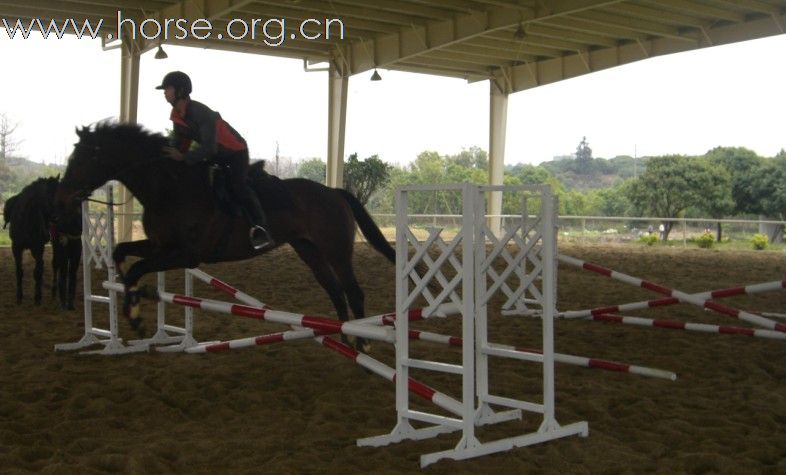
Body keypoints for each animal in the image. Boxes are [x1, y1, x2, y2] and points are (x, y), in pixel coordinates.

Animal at [2, 176, 59, 304]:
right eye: (50, 196)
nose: (58, 218)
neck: (25, 220)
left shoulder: (38, 247)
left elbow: (37, 272)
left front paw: (37, 297)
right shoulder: (16, 248)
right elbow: (19, 271)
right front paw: (19, 296)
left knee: (53, 264)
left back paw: (53, 291)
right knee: (42, 264)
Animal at [56, 123, 404, 354]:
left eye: (85, 158)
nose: (64, 198)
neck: (168, 187)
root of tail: (334, 192)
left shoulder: (185, 255)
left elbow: (137, 268)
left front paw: (136, 316)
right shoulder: (160, 246)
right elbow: (120, 253)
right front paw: (134, 305)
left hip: (336, 251)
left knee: (353, 290)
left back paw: (363, 343)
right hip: (310, 251)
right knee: (333, 289)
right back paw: (345, 339)